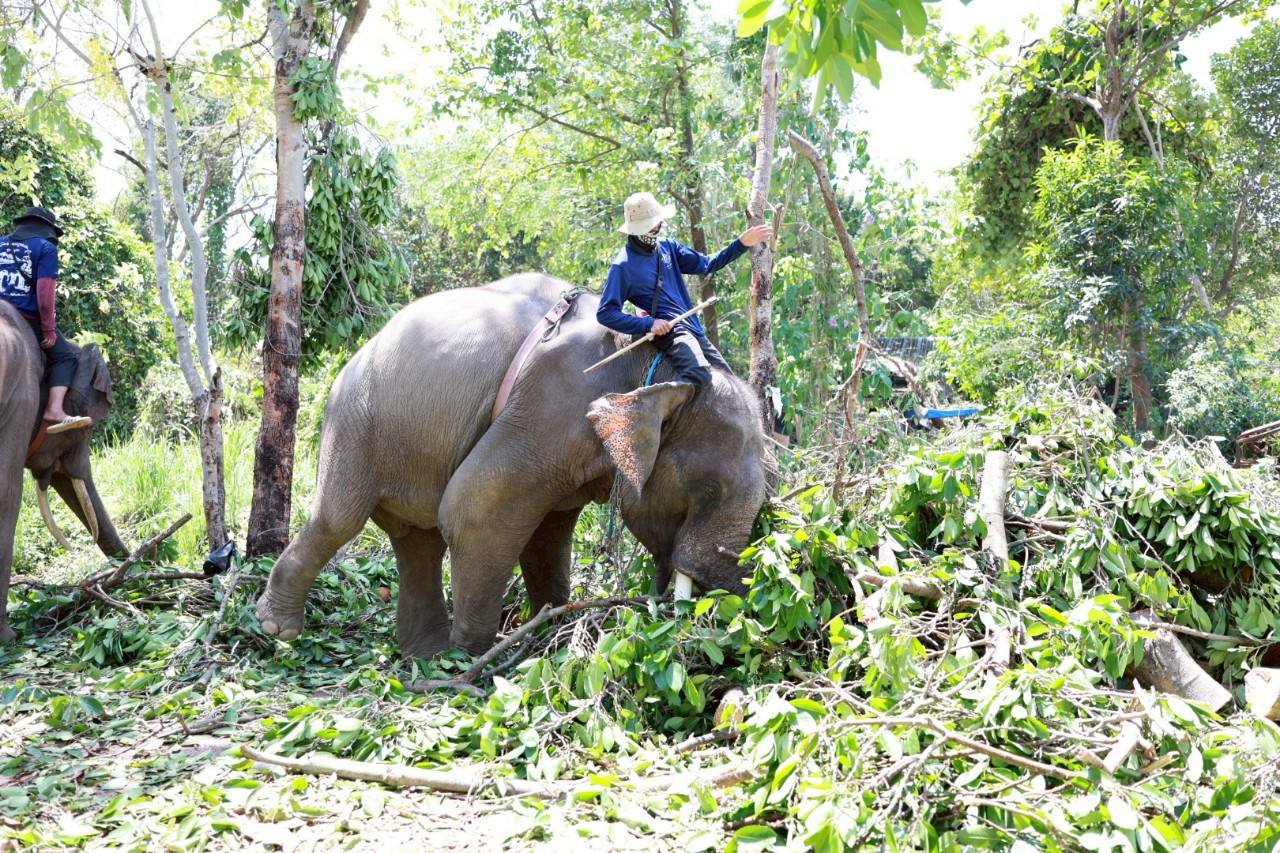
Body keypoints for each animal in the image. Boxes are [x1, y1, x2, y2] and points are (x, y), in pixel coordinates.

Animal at [256, 273, 771, 655]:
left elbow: (547, 532)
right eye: (709, 489)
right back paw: (278, 628)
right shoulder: (551, 404)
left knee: (418, 539)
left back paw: (425, 654)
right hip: (354, 421)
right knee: (339, 518)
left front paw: (549, 628)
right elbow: (474, 511)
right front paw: (475, 655)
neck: (660, 361)